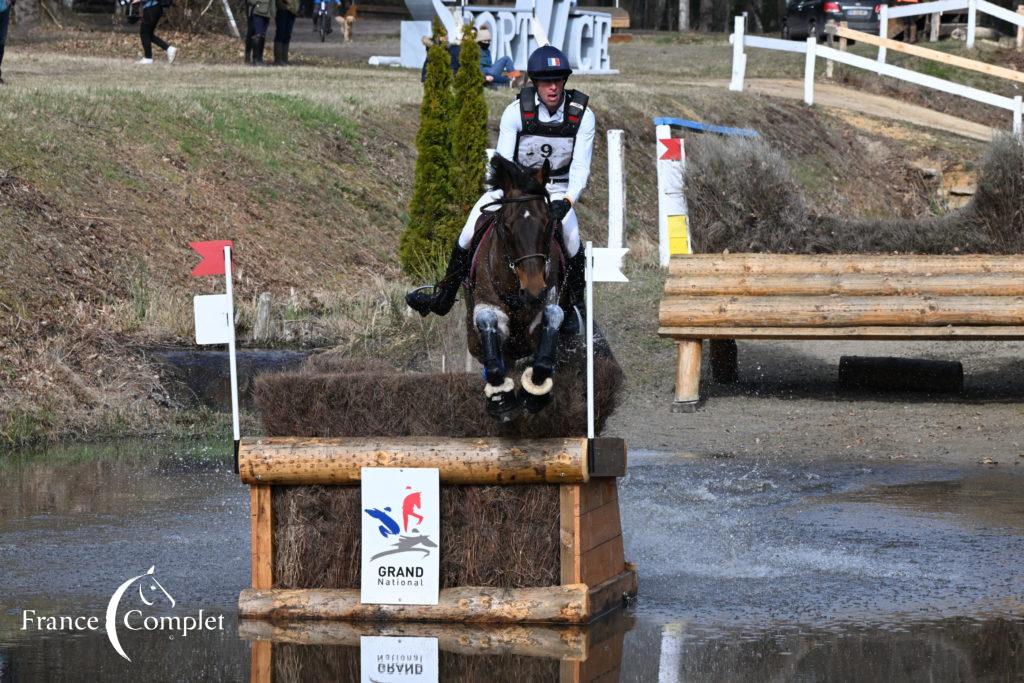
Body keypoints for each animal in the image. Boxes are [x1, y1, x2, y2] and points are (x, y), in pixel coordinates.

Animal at [464, 154, 569, 421]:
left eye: (548, 223)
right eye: (507, 227)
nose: (533, 291)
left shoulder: (546, 302)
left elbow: (552, 320)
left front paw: (535, 392)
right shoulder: (487, 306)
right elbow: (489, 326)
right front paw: (501, 398)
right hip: (474, 340)